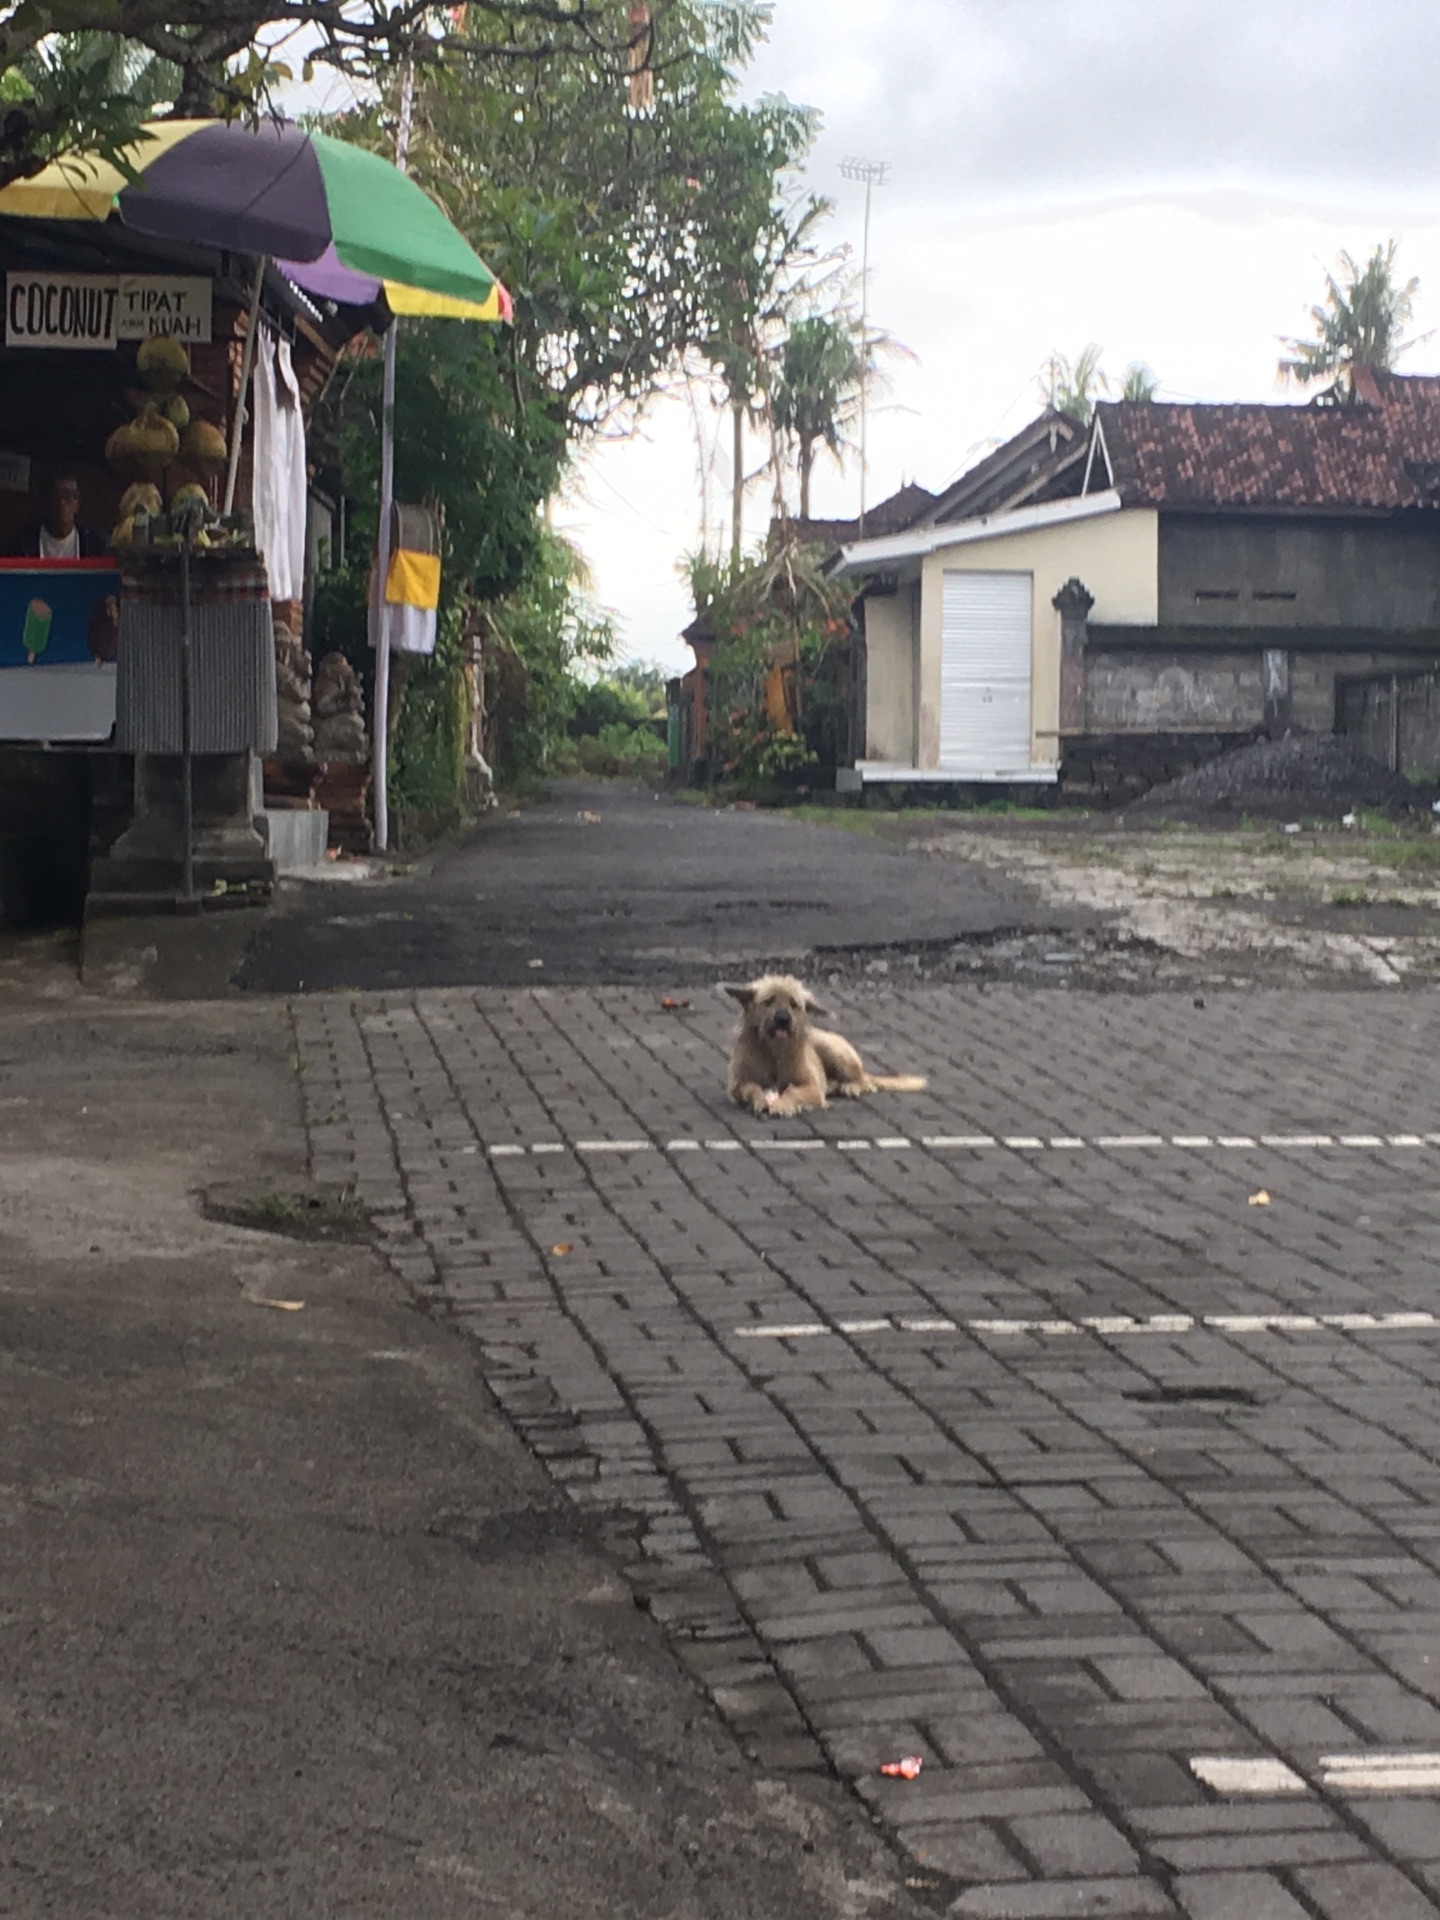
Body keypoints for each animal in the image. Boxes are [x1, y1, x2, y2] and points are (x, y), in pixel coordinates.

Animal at [725, 967, 929, 1121]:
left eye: (794, 1004)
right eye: (768, 1001)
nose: (783, 1019)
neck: (775, 1053)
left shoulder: (812, 1086)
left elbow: (793, 1091)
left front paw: (784, 1105)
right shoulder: (737, 1085)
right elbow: (752, 1088)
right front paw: (761, 1100)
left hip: (836, 1053)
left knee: (865, 1081)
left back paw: (851, 1086)